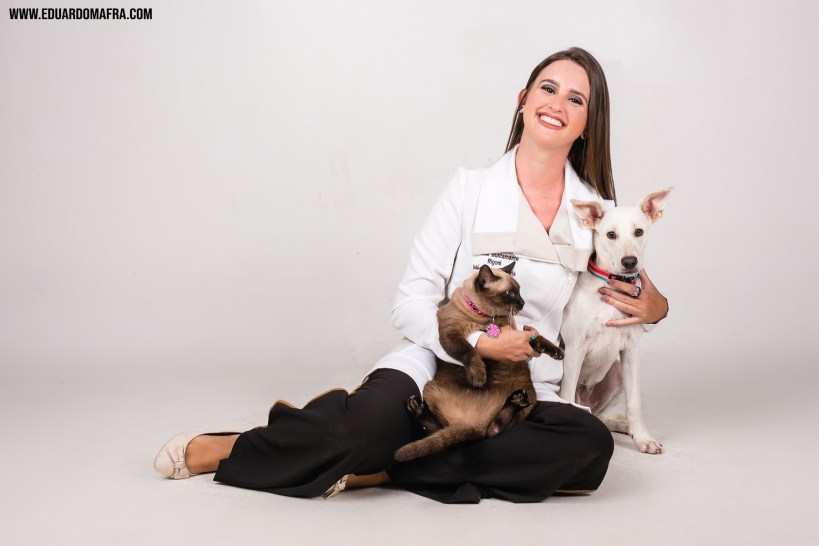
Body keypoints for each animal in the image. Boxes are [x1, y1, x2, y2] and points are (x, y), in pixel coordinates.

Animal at [394, 262, 565, 462]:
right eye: (510, 293)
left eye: (520, 291)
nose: (523, 303)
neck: (486, 318)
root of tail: (472, 424)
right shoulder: (451, 333)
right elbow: (470, 351)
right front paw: (479, 378)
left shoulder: (521, 335)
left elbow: (539, 338)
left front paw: (558, 353)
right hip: (430, 388)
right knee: (447, 433)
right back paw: (417, 407)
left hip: (530, 395)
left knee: (491, 431)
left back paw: (515, 401)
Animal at [559, 187, 673, 454]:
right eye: (611, 234)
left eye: (639, 232)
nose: (630, 261)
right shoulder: (575, 348)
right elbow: (566, 395)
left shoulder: (630, 351)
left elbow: (635, 403)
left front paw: (643, 438)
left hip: (617, 373)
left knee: (602, 417)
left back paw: (624, 425)